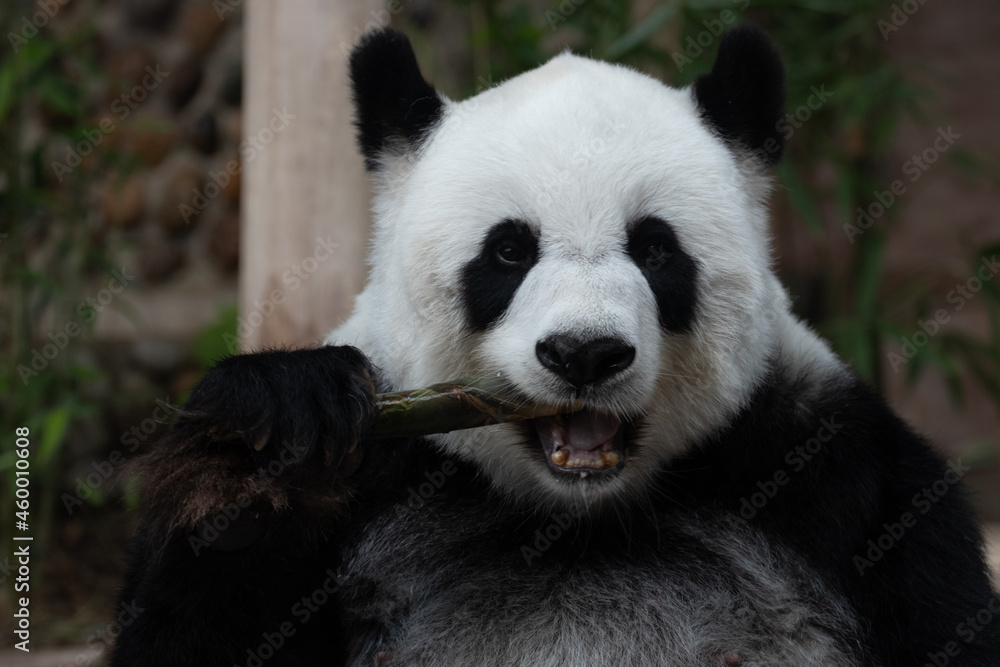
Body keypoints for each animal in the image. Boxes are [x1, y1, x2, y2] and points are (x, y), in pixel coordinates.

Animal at [111, 25, 1000, 667]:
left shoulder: (839, 483)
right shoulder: (382, 477)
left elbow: (944, 619)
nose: (584, 353)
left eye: (656, 249)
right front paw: (277, 432)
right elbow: (197, 626)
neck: (577, 515)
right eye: (508, 251)